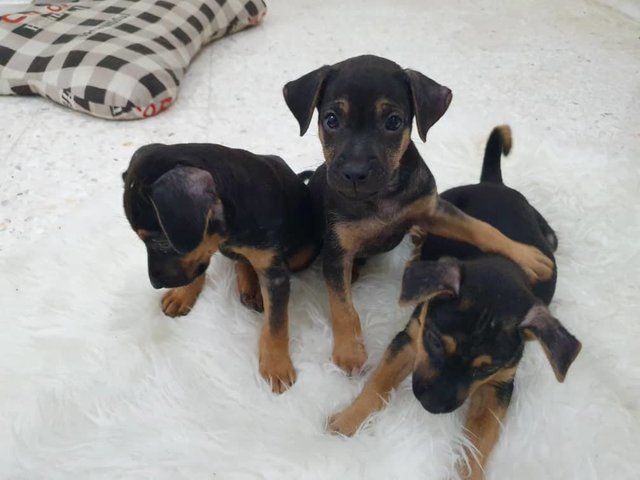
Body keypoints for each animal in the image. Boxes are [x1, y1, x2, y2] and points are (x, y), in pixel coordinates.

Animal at [122, 144, 320, 392]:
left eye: (161, 242)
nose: (155, 283)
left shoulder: (274, 273)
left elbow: (276, 323)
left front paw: (276, 366)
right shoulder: (204, 246)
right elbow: (199, 265)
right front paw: (182, 295)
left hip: (304, 252)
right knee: (240, 261)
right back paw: (249, 287)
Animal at [284, 55, 556, 372]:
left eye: (393, 121)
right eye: (331, 120)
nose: (354, 173)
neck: (382, 196)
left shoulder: (433, 210)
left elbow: (480, 228)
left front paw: (528, 256)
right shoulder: (337, 252)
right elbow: (342, 306)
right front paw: (349, 350)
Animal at [328, 127, 584, 480]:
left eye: (487, 367)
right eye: (436, 342)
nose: (432, 407)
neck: (502, 269)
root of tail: (493, 183)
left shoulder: (499, 385)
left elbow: (480, 441)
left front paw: (470, 470)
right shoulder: (410, 338)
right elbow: (376, 385)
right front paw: (346, 422)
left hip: (547, 233)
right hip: (442, 203)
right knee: (424, 225)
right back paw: (418, 245)